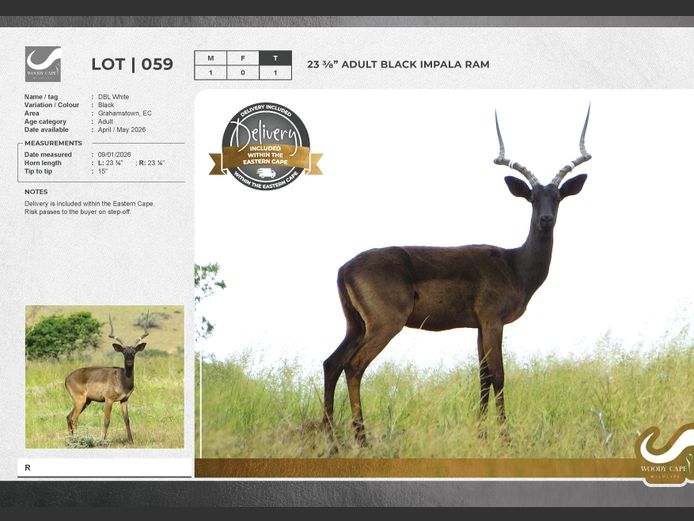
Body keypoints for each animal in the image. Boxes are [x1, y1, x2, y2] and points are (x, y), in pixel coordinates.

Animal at [65, 314, 149, 444]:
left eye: (134, 352)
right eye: (124, 352)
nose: (129, 363)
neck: (121, 380)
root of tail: (67, 378)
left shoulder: (124, 400)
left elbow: (127, 419)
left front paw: (131, 441)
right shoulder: (108, 400)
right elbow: (107, 420)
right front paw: (102, 441)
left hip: (86, 401)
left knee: (68, 417)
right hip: (80, 401)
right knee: (74, 418)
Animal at [322, 107, 592, 446]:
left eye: (557, 197)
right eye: (531, 197)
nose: (545, 219)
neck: (515, 265)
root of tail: (344, 268)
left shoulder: (478, 326)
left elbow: (483, 376)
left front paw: (481, 432)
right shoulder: (493, 320)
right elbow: (499, 375)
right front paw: (505, 436)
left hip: (355, 325)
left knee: (331, 363)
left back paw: (331, 436)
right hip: (384, 325)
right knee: (353, 366)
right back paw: (361, 438)